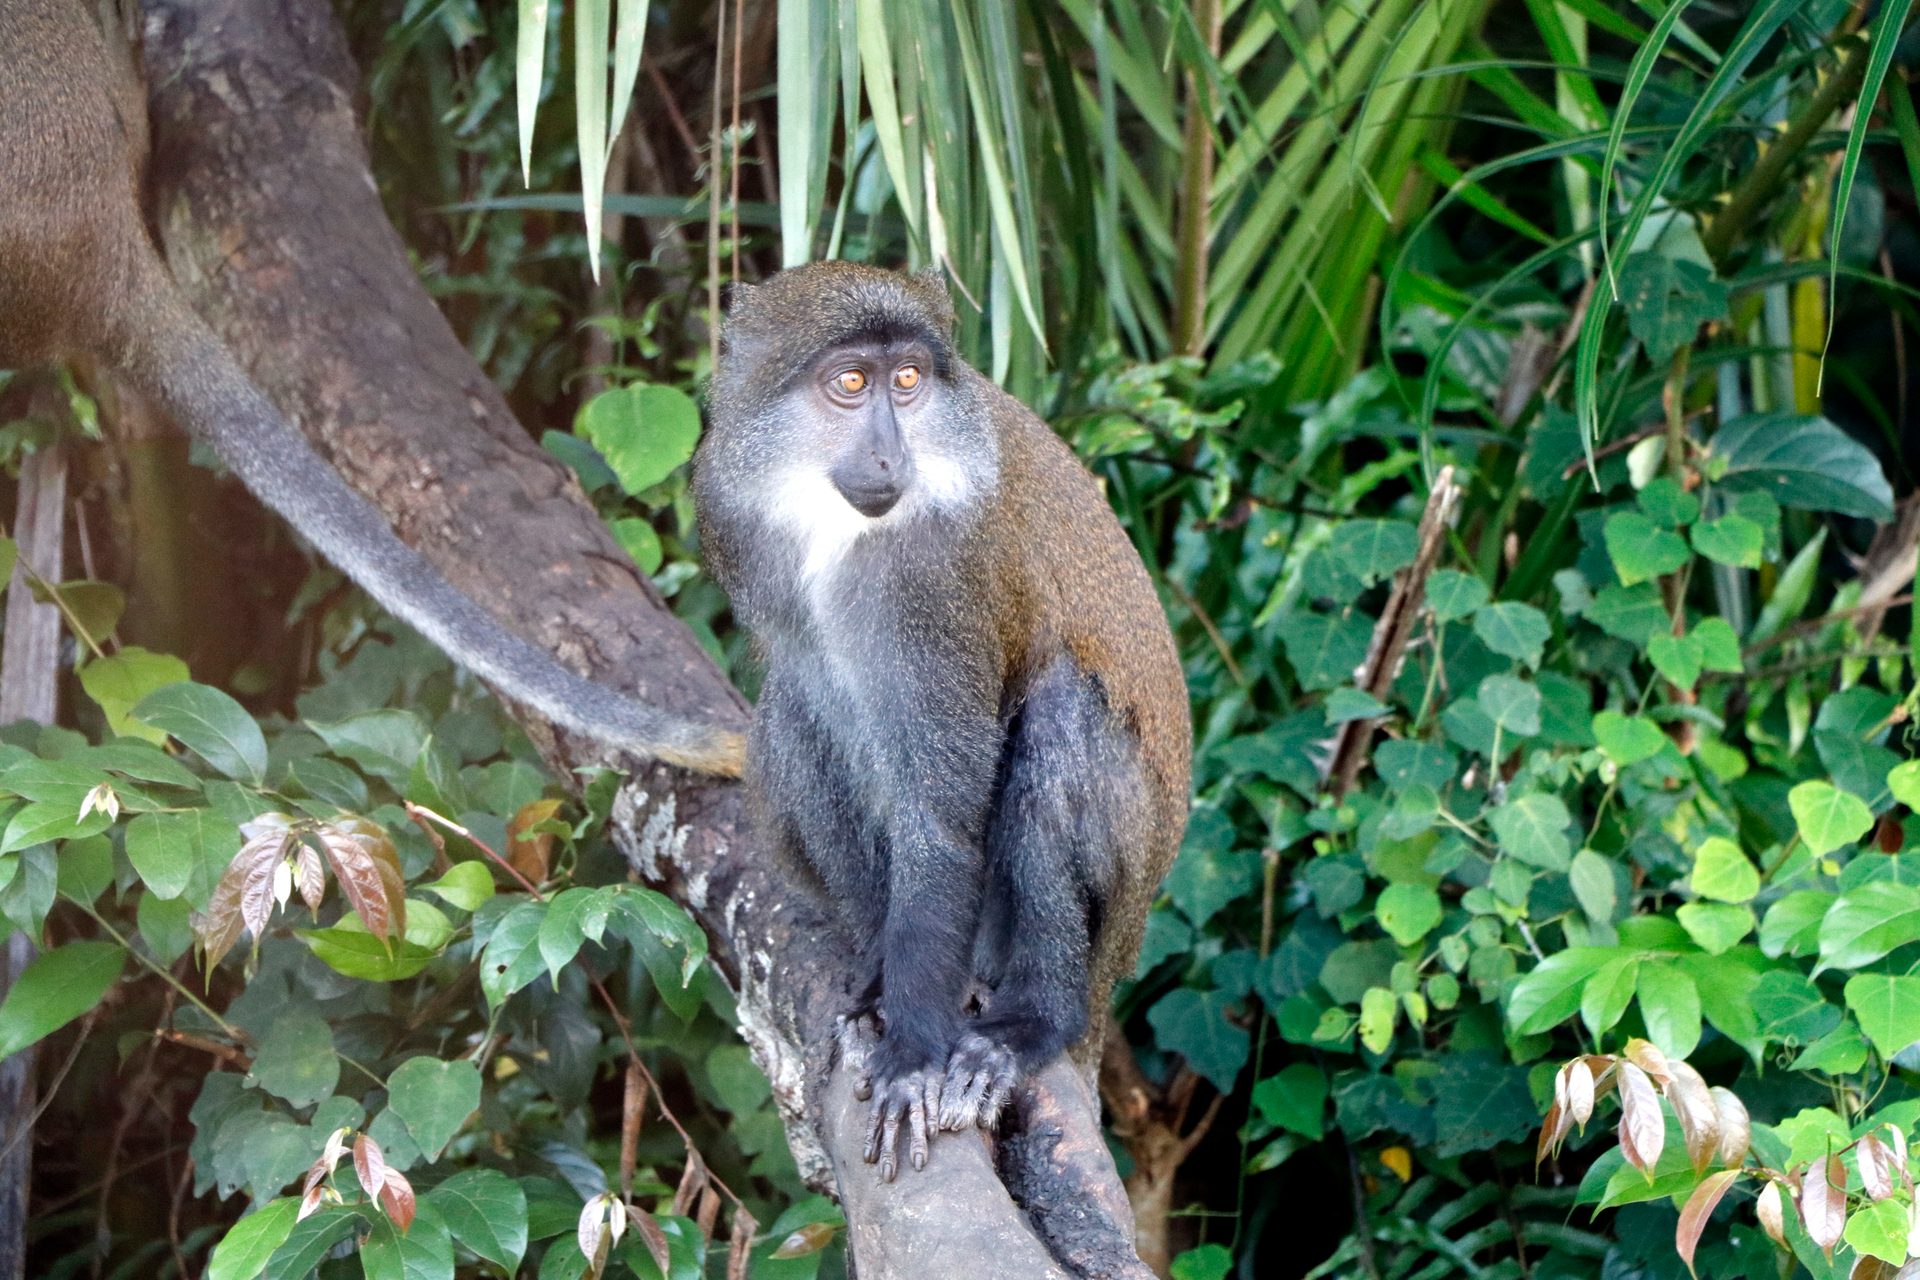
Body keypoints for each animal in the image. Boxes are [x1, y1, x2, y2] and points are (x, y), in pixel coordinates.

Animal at [698, 260, 1190, 1182]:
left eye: (908, 382)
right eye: (852, 384)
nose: (890, 453)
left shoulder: (937, 575)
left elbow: (941, 820)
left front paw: (914, 1048)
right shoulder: (733, 520)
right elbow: (820, 717)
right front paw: (876, 980)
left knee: (1062, 716)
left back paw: (1034, 1019)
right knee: (794, 711)